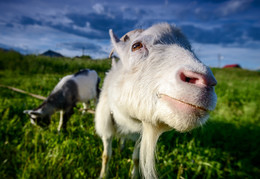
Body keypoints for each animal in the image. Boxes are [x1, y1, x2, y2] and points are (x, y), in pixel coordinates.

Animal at [95, 23, 217, 178]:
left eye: (191, 49)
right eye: (136, 46)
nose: (205, 81)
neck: (128, 121)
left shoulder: (139, 135)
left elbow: (136, 159)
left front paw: (134, 175)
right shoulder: (106, 129)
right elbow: (106, 156)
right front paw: (103, 175)